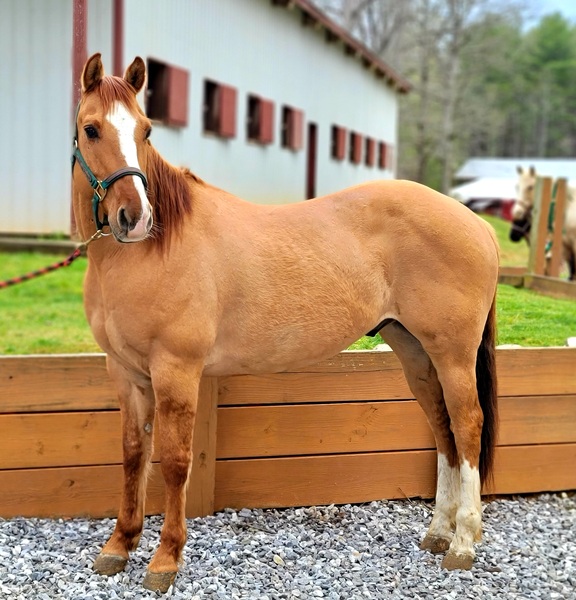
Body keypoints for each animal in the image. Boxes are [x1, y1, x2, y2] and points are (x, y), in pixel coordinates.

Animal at [73, 54, 500, 592]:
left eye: (146, 131)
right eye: (91, 129)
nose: (135, 217)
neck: (150, 252)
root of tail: (476, 223)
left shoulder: (177, 372)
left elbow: (173, 462)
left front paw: (165, 559)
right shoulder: (125, 373)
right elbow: (132, 455)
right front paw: (118, 547)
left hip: (453, 354)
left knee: (467, 427)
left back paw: (463, 542)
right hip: (416, 354)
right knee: (443, 428)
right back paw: (438, 533)